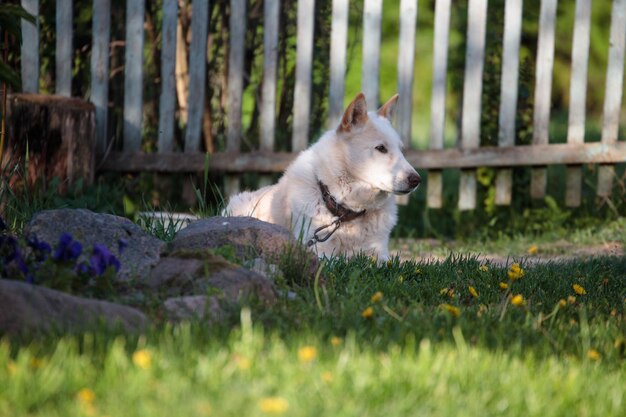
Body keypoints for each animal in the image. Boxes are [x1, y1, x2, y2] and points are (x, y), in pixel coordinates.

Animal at [224, 92, 420, 258]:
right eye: (381, 148)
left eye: (401, 150)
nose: (416, 180)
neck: (345, 212)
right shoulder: (318, 250)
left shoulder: (379, 254)